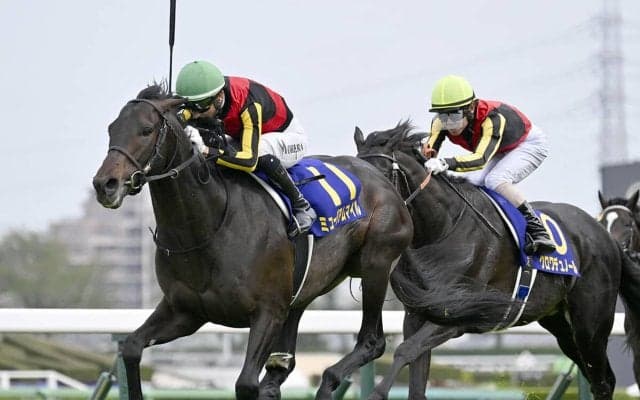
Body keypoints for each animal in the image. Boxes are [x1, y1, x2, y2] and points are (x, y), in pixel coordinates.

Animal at [92, 84, 416, 400]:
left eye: (146, 130)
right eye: (111, 129)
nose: (105, 184)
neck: (210, 225)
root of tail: (379, 177)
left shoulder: (267, 312)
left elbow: (246, 384)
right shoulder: (184, 311)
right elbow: (132, 347)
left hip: (375, 264)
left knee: (372, 341)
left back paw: (330, 381)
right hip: (301, 294)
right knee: (282, 365)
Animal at [354, 121, 640, 400]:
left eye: (380, 174)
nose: (358, 222)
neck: (442, 230)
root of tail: (603, 234)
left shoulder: (459, 316)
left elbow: (404, 350)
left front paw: (376, 393)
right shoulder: (416, 315)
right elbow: (415, 374)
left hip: (590, 324)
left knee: (603, 381)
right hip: (560, 324)